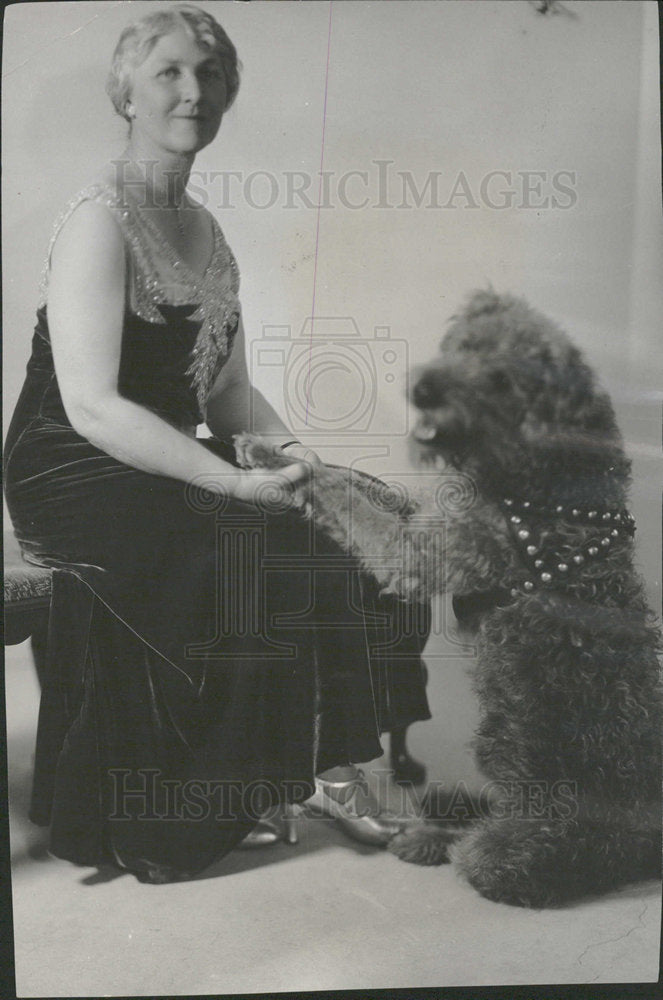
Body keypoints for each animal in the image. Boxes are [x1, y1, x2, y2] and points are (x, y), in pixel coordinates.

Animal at [386, 288, 660, 908]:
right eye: (463, 346)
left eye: (503, 380)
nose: (425, 389)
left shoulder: (426, 555)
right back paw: (434, 826)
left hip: (528, 842)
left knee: (483, 849)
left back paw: (438, 840)